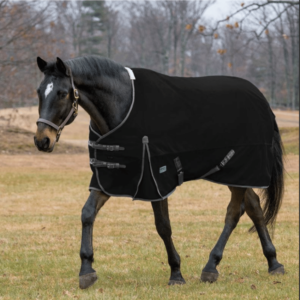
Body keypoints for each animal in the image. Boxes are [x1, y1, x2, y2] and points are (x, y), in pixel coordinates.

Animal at [34, 55, 284, 290]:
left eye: (62, 93)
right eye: (39, 92)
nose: (42, 140)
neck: (124, 107)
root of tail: (261, 99)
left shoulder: (155, 180)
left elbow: (163, 226)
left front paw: (176, 273)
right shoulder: (108, 179)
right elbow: (87, 214)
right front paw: (86, 270)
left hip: (241, 170)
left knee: (233, 213)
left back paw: (211, 266)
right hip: (236, 174)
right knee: (254, 207)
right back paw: (273, 262)